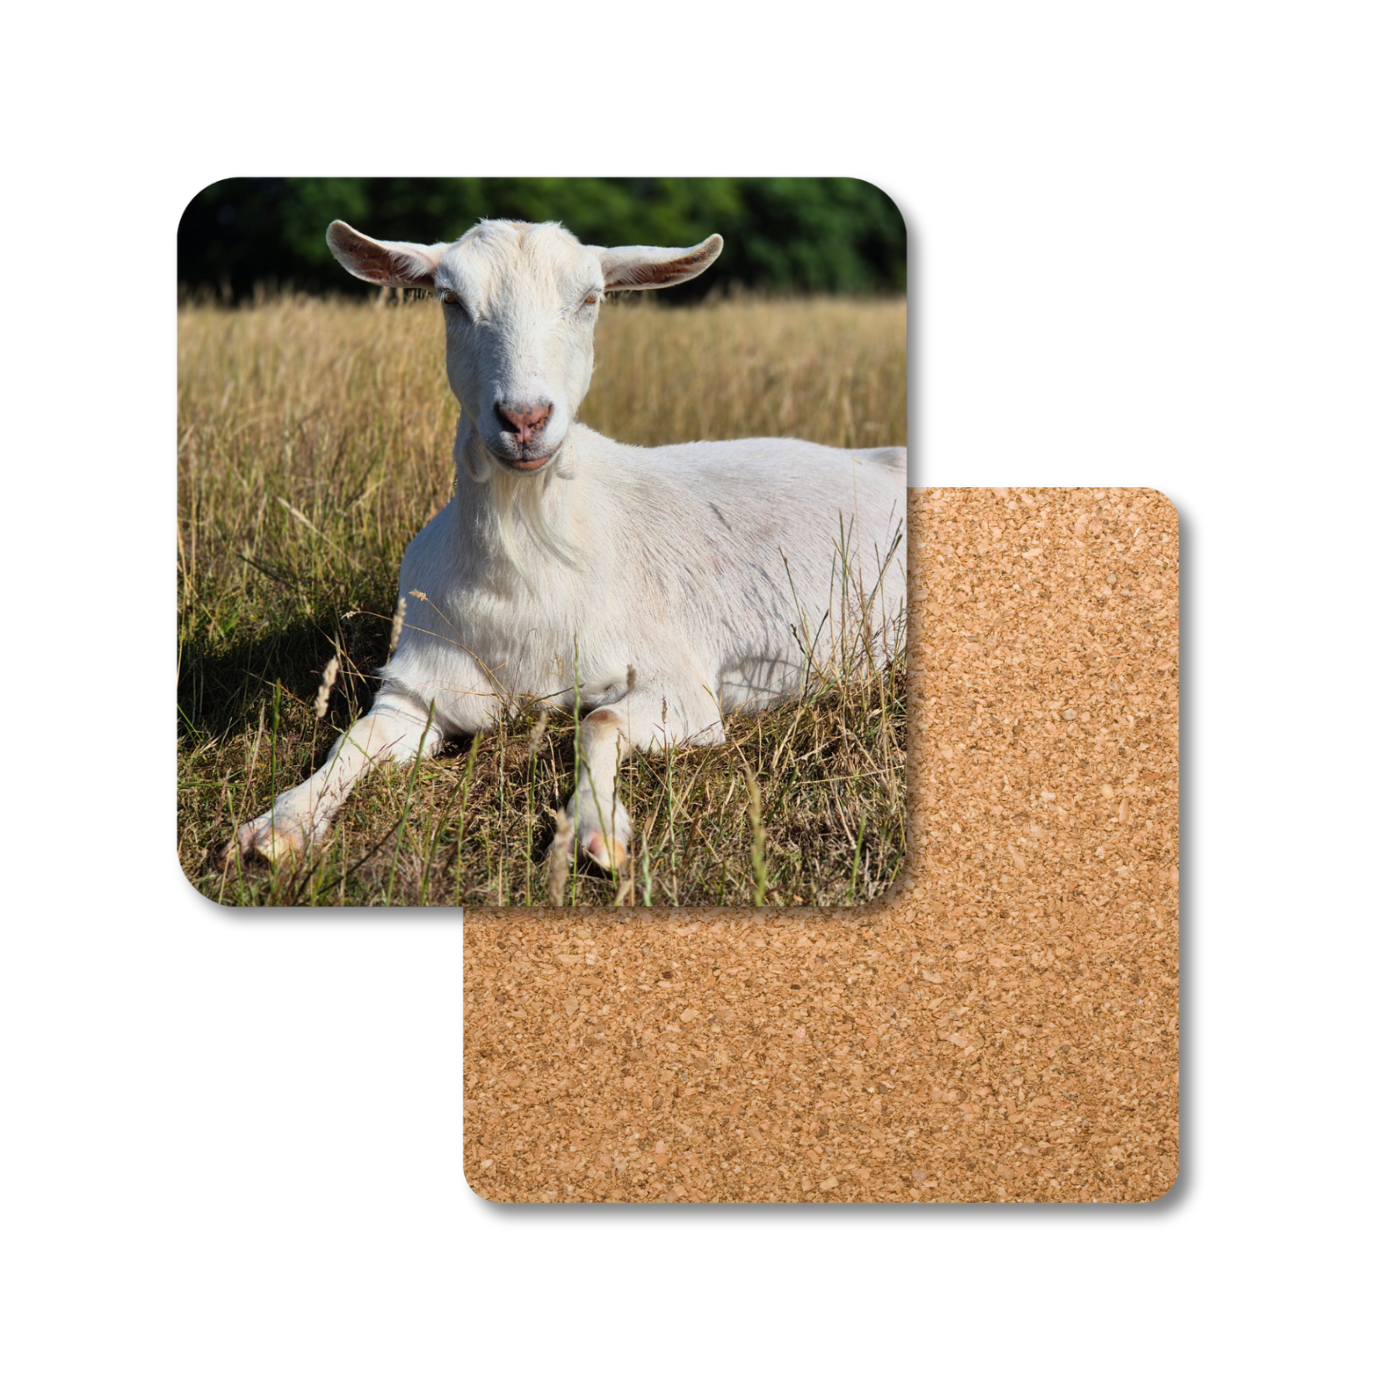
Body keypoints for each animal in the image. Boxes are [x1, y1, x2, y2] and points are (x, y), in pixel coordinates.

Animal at [231, 218, 906, 874]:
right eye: (450, 299)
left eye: (590, 299)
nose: (525, 418)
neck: (531, 567)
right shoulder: (416, 692)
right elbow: (352, 740)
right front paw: (280, 825)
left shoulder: (684, 686)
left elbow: (598, 721)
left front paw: (598, 832)